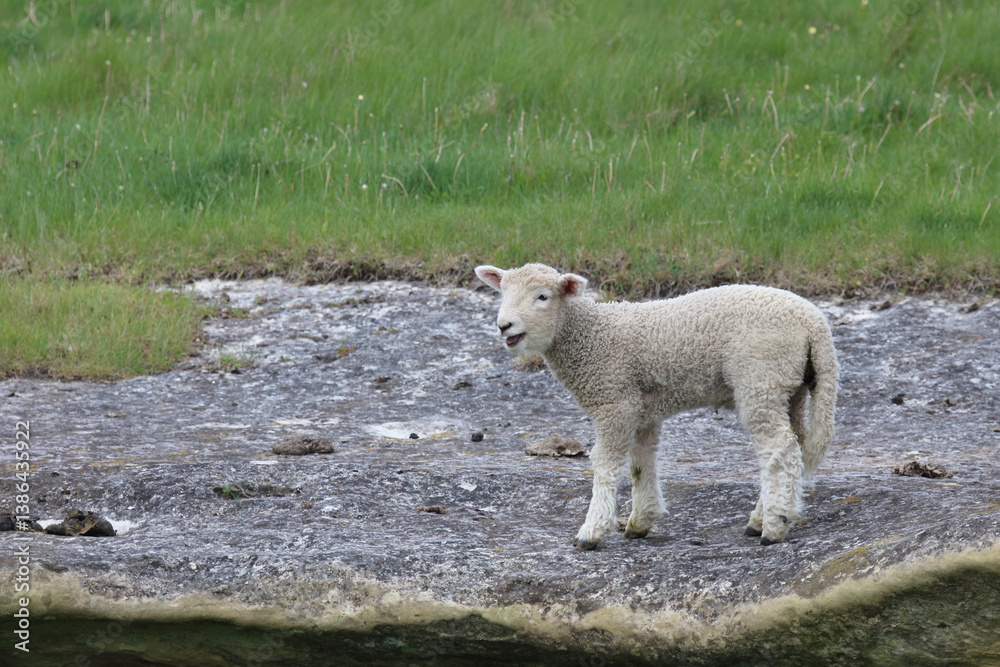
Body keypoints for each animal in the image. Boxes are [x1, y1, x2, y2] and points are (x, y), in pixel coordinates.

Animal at [475, 263, 838, 550]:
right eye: (502, 293)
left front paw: (592, 530)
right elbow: (641, 462)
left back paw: (775, 525)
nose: (504, 325)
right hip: (790, 387)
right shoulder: (642, 408)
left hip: (760, 378)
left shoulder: (615, 401)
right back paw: (762, 518)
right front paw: (641, 520)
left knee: (781, 449)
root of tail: (814, 322)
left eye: (543, 297)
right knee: (795, 445)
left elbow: (605, 464)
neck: (592, 336)